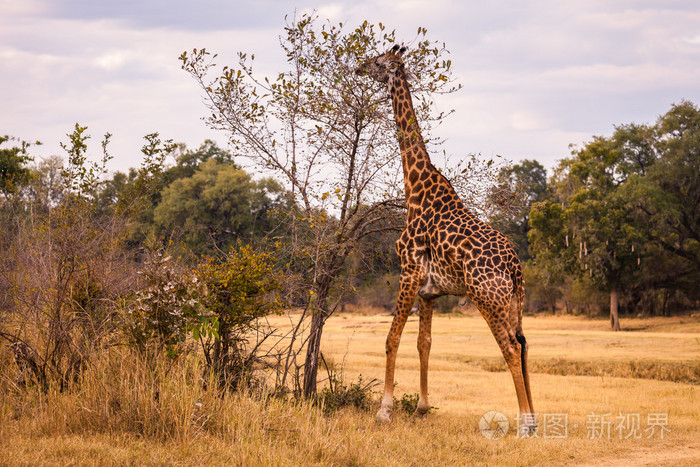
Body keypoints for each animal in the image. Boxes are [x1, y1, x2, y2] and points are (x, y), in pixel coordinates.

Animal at [356, 45, 536, 436]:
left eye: (377, 61)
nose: (358, 67)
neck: (415, 186)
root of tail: (515, 267)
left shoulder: (409, 271)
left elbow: (392, 339)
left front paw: (384, 411)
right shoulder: (429, 291)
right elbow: (424, 344)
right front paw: (422, 408)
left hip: (488, 298)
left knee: (510, 349)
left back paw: (523, 424)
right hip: (514, 303)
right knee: (524, 344)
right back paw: (534, 418)